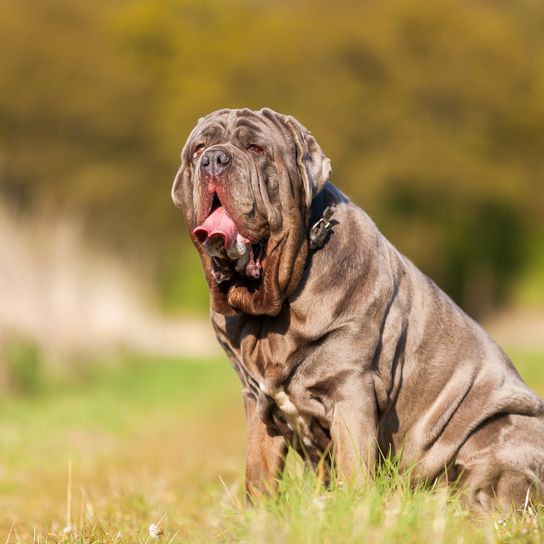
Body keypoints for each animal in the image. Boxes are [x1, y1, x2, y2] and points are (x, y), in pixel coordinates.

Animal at [171, 108, 544, 512]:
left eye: (256, 149)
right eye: (198, 150)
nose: (214, 160)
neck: (273, 308)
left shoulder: (351, 391)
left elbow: (353, 466)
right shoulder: (258, 402)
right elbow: (259, 473)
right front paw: (260, 516)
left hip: (502, 428)